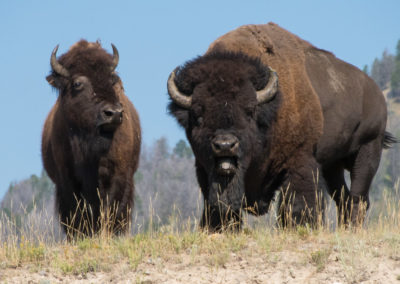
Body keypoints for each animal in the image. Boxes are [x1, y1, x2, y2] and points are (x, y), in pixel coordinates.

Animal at [42, 39, 141, 235]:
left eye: (112, 80)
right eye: (77, 83)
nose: (114, 113)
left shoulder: (118, 176)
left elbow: (111, 208)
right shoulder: (67, 180)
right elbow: (77, 213)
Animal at [167, 22, 396, 231]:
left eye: (249, 111)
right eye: (198, 115)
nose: (225, 145)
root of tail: (375, 92)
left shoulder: (299, 162)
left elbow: (297, 202)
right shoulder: (204, 170)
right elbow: (215, 205)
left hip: (368, 151)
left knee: (359, 197)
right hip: (333, 166)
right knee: (344, 198)